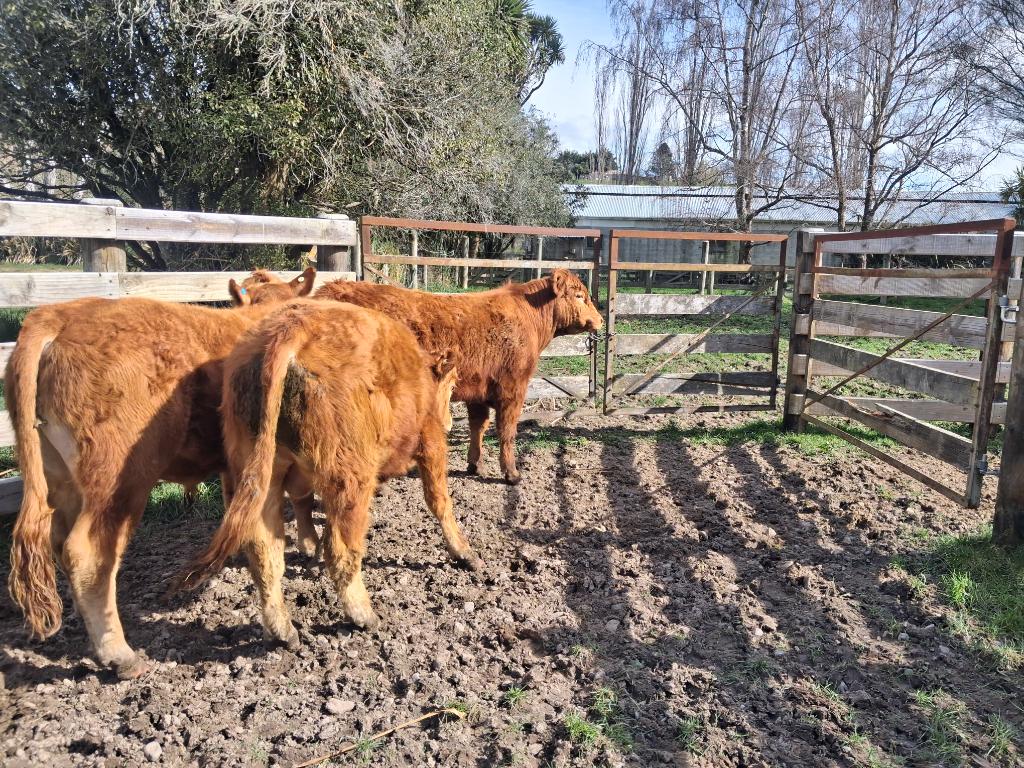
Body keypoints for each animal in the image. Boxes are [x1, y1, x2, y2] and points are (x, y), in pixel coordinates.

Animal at [6, 269, 317, 679]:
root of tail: (58, 313)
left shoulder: (232, 468)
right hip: (119, 481)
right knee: (87, 553)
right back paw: (120, 655)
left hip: (60, 477)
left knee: (59, 542)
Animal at [174, 300, 477, 643]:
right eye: (450, 387)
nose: (450, 422)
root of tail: (290, 327)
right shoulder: (431, 442)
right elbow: (440, 501)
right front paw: (464, 552)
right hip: (350, 479)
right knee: (341, 549)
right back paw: (363, 615)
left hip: (263, 476)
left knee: (265, 552)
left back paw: (283, 630)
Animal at [314, 269, 602, 484]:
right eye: (579, 296)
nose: (599, 319)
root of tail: (334, 289)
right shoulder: (513, 388)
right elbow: (507, 431)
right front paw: (512, 474)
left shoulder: (478, 391)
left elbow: (479, 426)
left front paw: (475, 465)